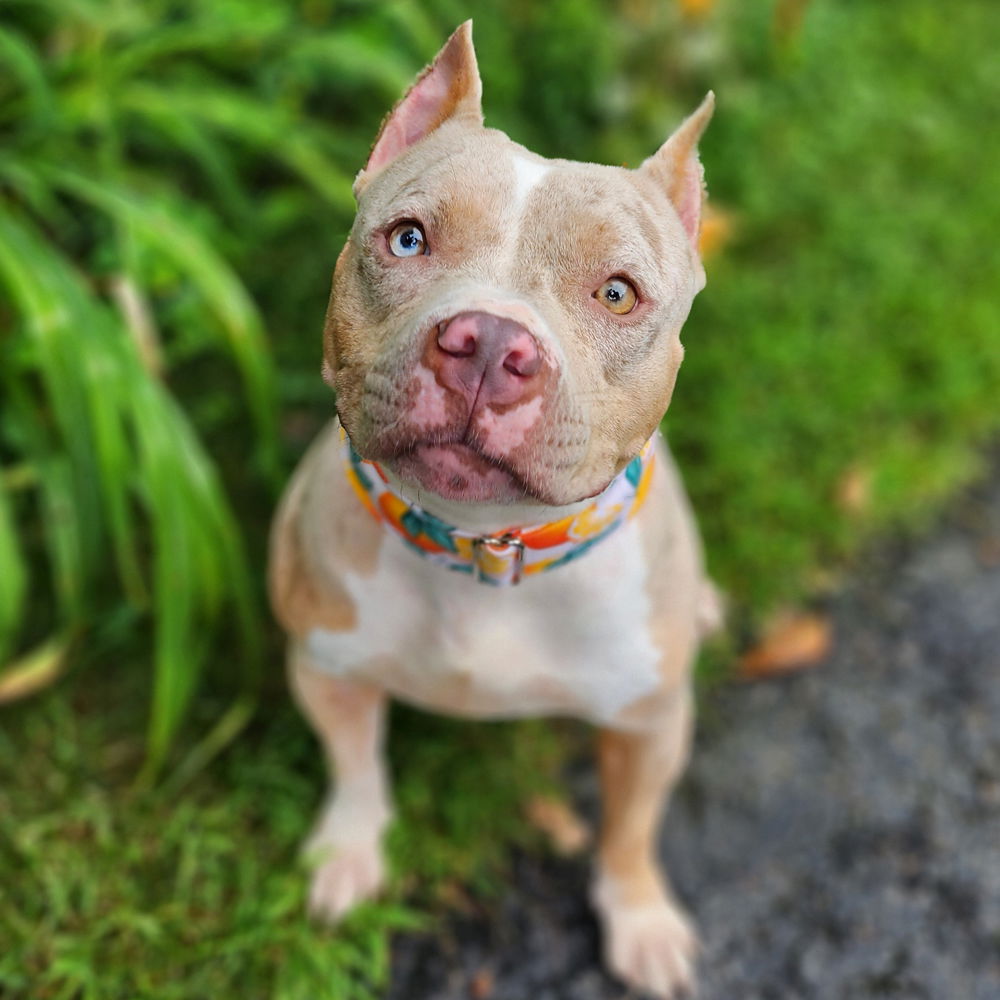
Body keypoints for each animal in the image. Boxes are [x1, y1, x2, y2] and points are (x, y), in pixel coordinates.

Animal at [266, 23, 720, 1000]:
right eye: (407, 239)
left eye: (618, 292)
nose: (489, 343)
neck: (485, 550)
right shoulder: (327, 666)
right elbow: (355, 771)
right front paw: (347, 857)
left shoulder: (650, 724)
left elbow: (630, 830)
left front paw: (641, 919)